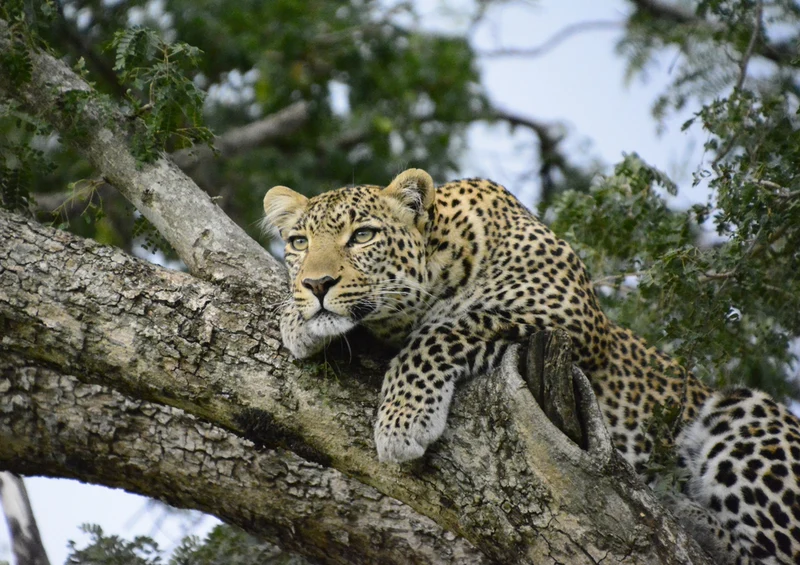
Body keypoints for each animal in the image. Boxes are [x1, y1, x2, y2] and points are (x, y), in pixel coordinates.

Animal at [262, 168, 800, 565]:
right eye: (298, 243)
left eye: (363, 235)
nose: (317, 284)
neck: (445, 254)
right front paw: (295, 318)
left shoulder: (567, 316)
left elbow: (446, 329)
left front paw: (402, 419)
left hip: (745, 415)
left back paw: (686, 514)